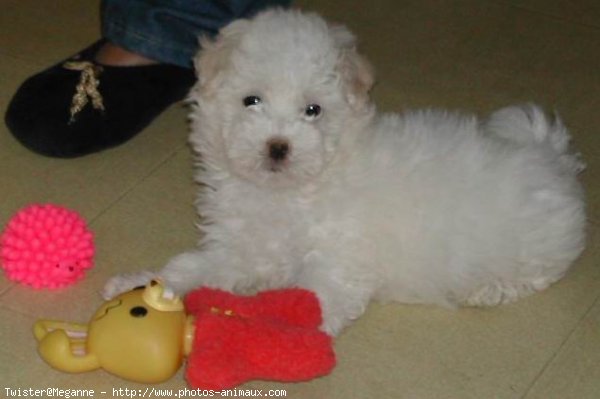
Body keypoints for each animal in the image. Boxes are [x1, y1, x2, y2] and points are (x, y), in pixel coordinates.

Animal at [103, 8, 584, 334]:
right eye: (250, 101)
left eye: (313, 110)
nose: (278, 147)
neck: (288, 191)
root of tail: (549, 152)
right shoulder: (240, 246)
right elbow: (191, 265)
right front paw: (140, 285)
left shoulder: (338, 258)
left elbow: (315, 299)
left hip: (530, 248)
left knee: (536, 273)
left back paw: (488, 289)